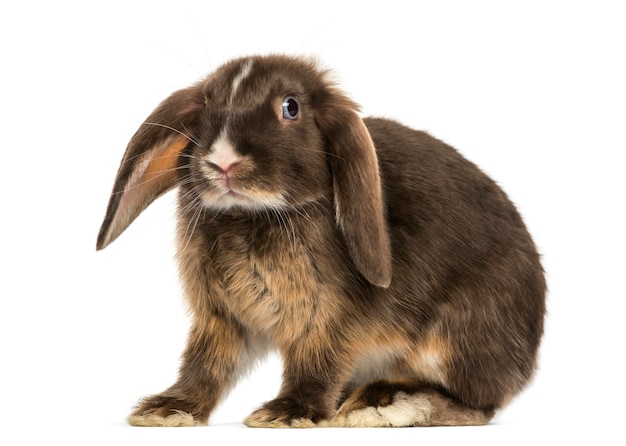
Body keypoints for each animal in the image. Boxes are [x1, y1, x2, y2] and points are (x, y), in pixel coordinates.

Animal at [95, 54, 544, 426]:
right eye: (206, 105)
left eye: (290, 107)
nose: (223, 161)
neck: (252, 214)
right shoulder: (222, 317)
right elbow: (206, 364)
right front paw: (167, 409)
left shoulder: (330, 319)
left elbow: (316, 363)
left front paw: (286, 413)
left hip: (458, 338)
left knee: (474, 404)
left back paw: (380, 404)